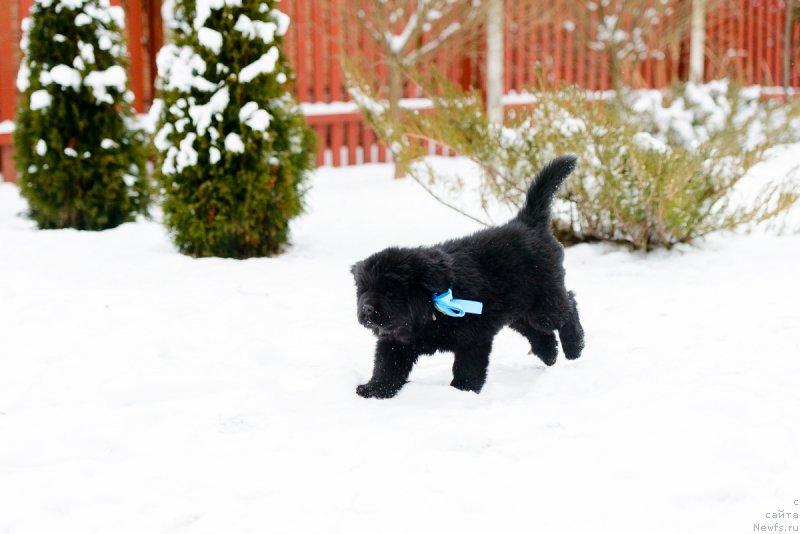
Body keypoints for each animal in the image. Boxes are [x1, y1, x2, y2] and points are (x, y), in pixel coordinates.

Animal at [354, 155, 584, 398]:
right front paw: (374, 389)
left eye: (391, 293)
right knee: (537, 330)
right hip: (518, 309)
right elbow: (387, 366)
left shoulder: (473, 338)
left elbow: (467, 366)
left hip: (543, 300)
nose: (366, 308)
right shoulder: (395, 341)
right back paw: (549, 354)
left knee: (568, 305)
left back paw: (574, 346)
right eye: (363, 291)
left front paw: (462, 390)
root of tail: (527, 222)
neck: (433, 303)